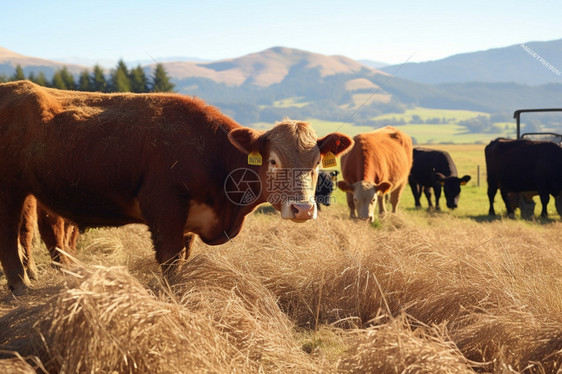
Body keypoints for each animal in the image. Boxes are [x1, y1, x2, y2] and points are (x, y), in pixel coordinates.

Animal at [0, 81, 350, 292]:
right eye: (274, 161)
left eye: (316, 163)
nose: (302, 209)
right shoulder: (164, 209)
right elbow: (170, 262)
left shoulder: (188, 223)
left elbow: (184, 258)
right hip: (9, 191)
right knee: (11, 238)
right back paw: (21, 288)